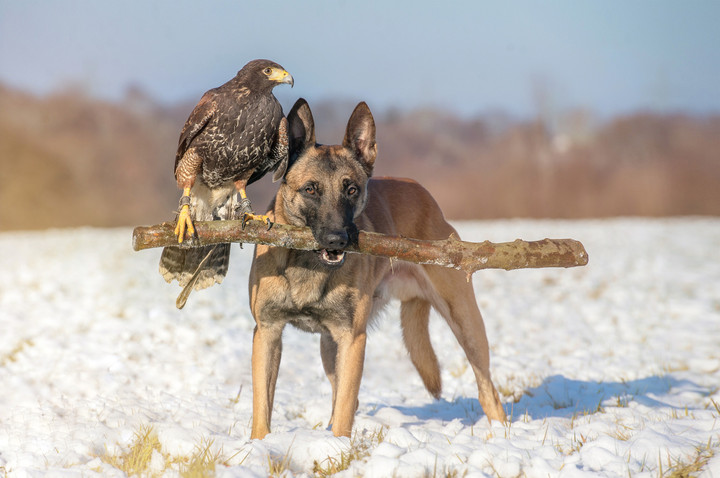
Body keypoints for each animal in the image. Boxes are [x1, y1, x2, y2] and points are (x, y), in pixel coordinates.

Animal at [248, 99, 506, 438]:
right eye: (310, 190)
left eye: (352, 190)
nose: (338, 240)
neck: (309, 265)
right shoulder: (267, 333)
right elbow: (263, 408)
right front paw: (258, 444)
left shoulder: (353, 339)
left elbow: (345, 409)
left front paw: (337, 445)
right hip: (329, 348)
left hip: (465, 323)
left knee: (488, 389)